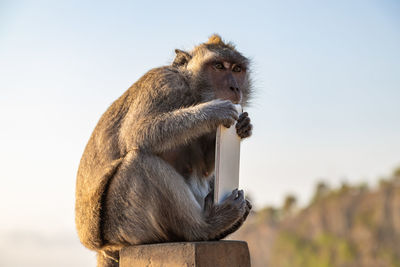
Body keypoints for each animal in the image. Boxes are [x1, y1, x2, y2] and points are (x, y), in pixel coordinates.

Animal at [75, 34, 253, 266]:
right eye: (218, 66)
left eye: (237, 69)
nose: (235, 88)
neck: (191, 91)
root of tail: (103, 248)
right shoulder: (164, 84)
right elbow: (137, 132)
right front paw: (214, 110)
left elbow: (205, 167)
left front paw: (245, 125)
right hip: (125, 227)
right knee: (140, 162)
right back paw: (206, 227)